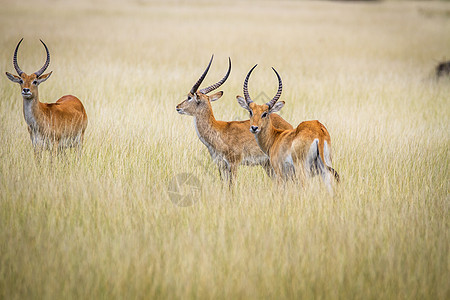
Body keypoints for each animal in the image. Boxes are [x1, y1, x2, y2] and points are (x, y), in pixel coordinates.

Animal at [174, 55, 294, 184]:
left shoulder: (234, 164)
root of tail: (290, 126)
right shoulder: (221, 165)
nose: (178, 107)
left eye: (189, 97)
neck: (218, 131)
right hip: (267, 165)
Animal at [237, 64, 340, 193]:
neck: (275, 138)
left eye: (265, 113)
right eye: (250, 111)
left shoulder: (279, 174)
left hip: (302, 170)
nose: (254, 128)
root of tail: (318, 132)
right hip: (325, 169)